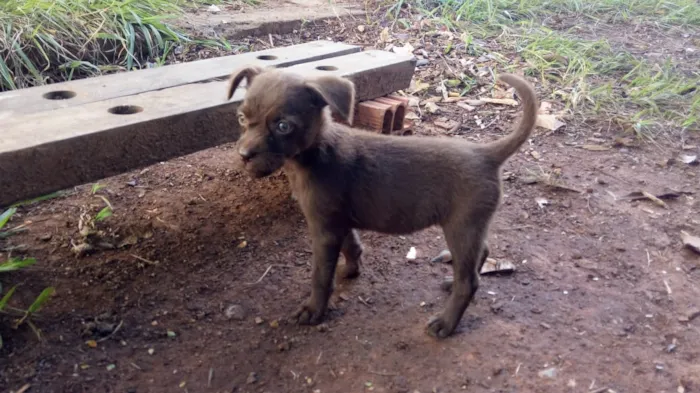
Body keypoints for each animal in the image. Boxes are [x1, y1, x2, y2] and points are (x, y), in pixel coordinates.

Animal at [227, 65, 540, 336]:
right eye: (241, 118)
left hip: (461, 226)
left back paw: (446, 324)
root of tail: (487, 154)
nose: (243, 155)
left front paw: (314, 309)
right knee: (481, 253)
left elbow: (320, 275)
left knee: (470, 282)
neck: (316, 153)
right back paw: (451, 283)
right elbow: (352, 246)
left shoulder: (324, 229)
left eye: (283, 126)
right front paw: (350, 271)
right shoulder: (338, 221)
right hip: (471, 226)